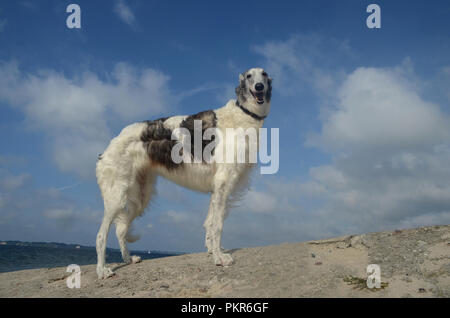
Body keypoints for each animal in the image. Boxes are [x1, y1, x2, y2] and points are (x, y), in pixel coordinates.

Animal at [95, 67, 270, 278]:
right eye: (249, 76)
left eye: (264, 74)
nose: (259, 87)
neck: (243, 114)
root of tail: (108, 148)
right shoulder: (223, 182)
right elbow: (217, 225)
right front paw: (220, 259)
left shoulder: (216, 188)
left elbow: (209, 224)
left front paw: (213, 251)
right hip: (117, 197)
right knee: (101, 235)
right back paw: (102, 270)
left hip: (140, 196)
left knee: (120, 230)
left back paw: (129, 259)